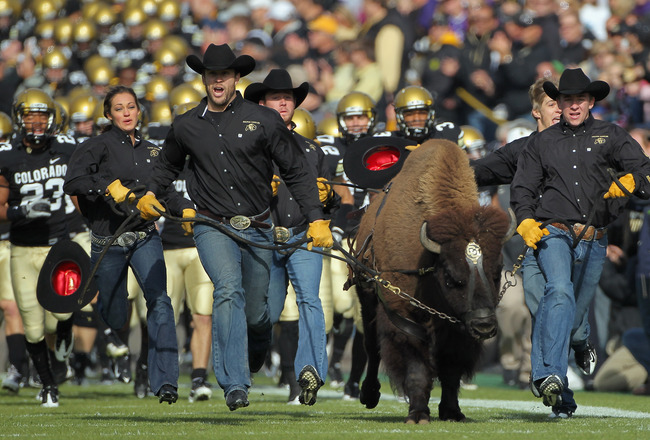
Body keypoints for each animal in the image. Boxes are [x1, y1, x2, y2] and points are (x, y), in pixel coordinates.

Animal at [346, 138, 512, 422]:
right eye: (451, 276)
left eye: (497, 270)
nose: (484, 326)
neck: (429, 262)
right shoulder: (404, 320)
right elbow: (417, 370)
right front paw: (418, 414)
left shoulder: (458, 328)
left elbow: (451, 372)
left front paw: (452, 412)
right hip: (366, 296)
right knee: (371, 345)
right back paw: (369, 394)